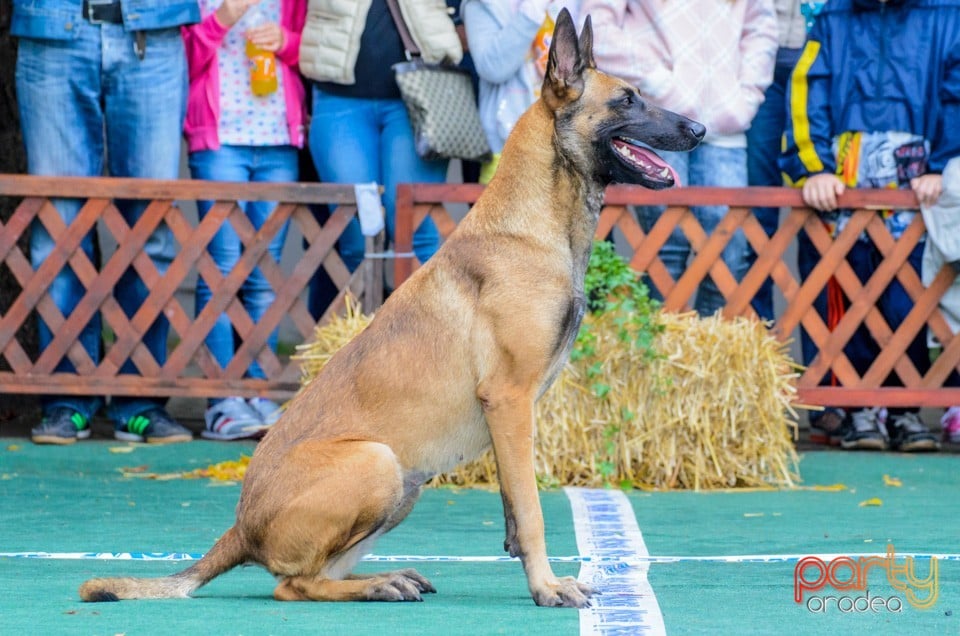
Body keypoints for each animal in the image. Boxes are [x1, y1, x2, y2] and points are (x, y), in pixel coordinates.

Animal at [77, 8, 704, 608]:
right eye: (627, 100)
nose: (699, 129)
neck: (532, 224)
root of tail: (239, 530)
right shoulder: (509, 401)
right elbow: (531, 514)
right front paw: (548, 587)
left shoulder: (510, 418)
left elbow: (513, 507)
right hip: (377, 462)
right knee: (293, 585)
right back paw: (378, 584)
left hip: (403, 484)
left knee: (313, 574)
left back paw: (387, 577)